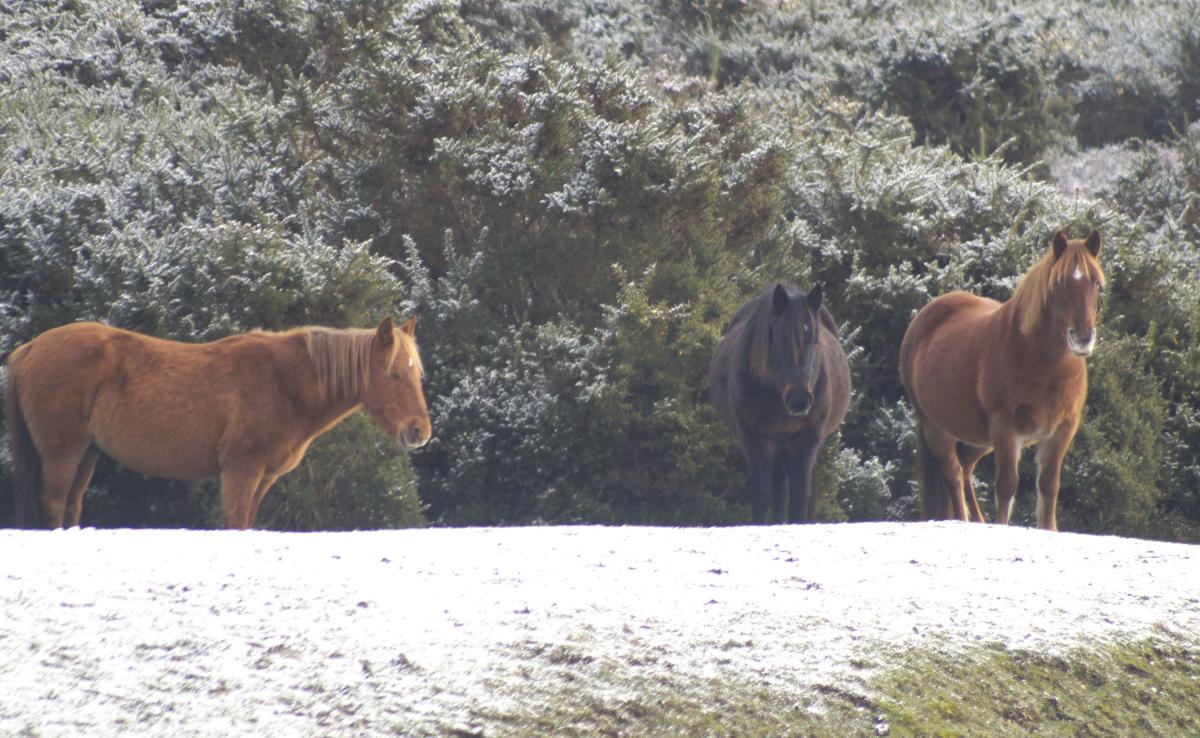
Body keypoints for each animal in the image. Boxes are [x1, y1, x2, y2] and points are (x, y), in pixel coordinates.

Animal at [5, 317, 431, 530]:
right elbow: (235, 523)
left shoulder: (262, 478)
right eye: (394, 374)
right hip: (63, 453)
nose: (420, 432)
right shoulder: (240, 471)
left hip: (87, 453)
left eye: (417, 373)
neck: (283, 381)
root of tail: (31, 347)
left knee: (71, 506)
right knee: (54, 504)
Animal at [710, 283, 851, 524]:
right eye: (779, 339)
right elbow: (762, 494)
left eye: (816, 340)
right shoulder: (755, 439)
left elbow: (801, 496)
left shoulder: (806, 441)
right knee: (779, 488)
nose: (799, 400)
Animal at [899, 230, 1105, 531]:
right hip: (937, 428)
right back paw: (963, 520)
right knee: (953, 473)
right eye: (1058, 284)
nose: (1082, 338)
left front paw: (1048, 529)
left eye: (1097, 284)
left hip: (979, 439)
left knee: (966, 468)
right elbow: (1007, 484)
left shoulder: (1062, 429)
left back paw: (979, 520)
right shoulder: (1005, 428)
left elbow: (1049, 485)